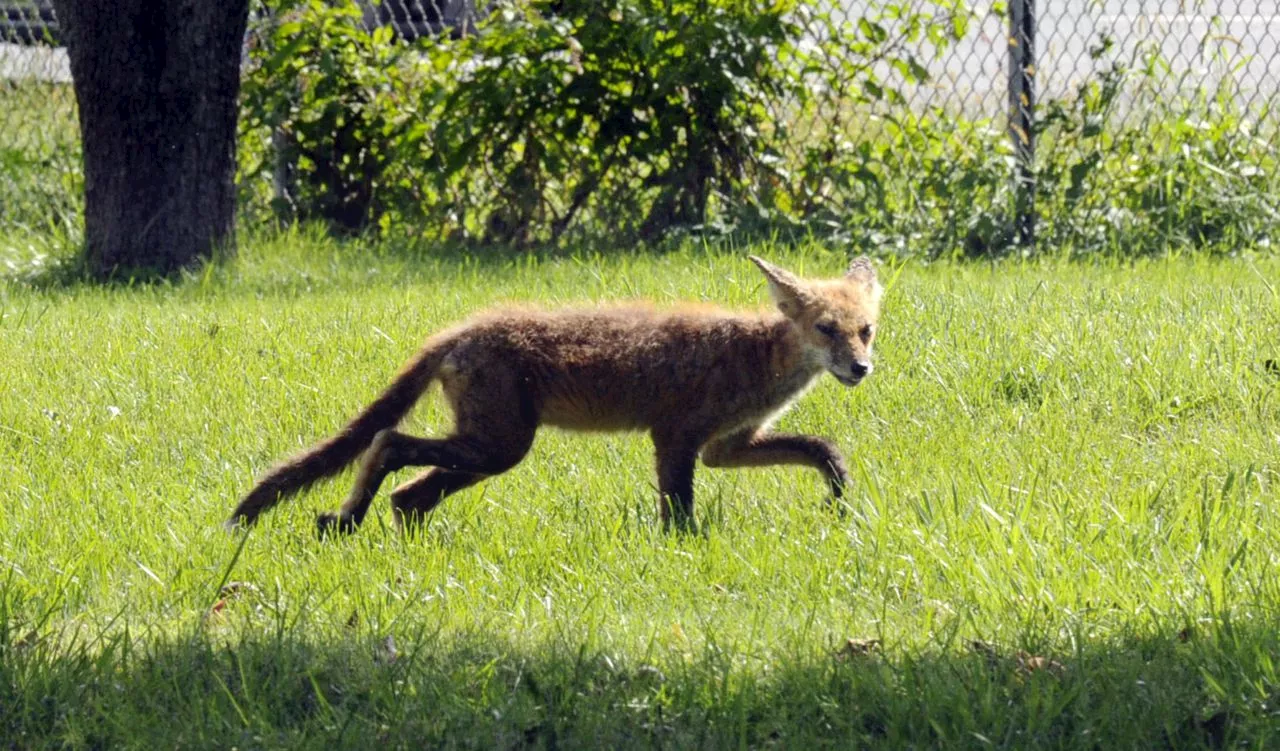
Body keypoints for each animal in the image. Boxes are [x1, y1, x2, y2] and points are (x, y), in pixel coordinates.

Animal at [227, 255, 880, 537]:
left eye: (865, 329)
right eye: (827, 329)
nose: (860, 368)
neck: (754, 359)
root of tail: (458, 330)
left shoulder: (727, 447)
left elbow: (823, 449)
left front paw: (839, 499)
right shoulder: (675, 438)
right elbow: (679, 514)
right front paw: (684, 552)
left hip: (488, 451)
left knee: (407, 493)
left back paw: (376, 532)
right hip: (500, 446)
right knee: (386, 442)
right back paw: (349, 518)